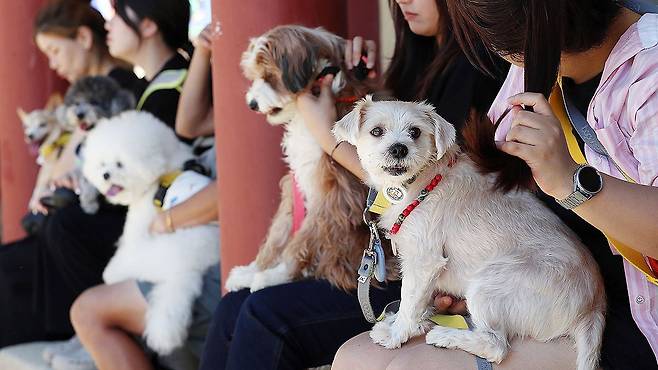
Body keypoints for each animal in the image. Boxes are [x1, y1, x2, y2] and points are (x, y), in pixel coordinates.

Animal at [81, 111, 218, 354]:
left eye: (120, 164)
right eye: (102, 163)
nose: (105, 175)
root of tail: (191, 266)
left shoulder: (141, 224)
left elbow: (129, 242)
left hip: (159, 252)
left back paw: (112, 273)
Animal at [334, 97, 604, 370]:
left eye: (415, 132)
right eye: (377, 131)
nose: (399, 149)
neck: (419, 184)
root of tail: (593, 308)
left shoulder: (424, 260)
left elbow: (409, 299)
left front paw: (398, 332)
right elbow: (417, 299)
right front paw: (411, 320)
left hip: (490, 284)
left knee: (496, 346)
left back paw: (446, 336)